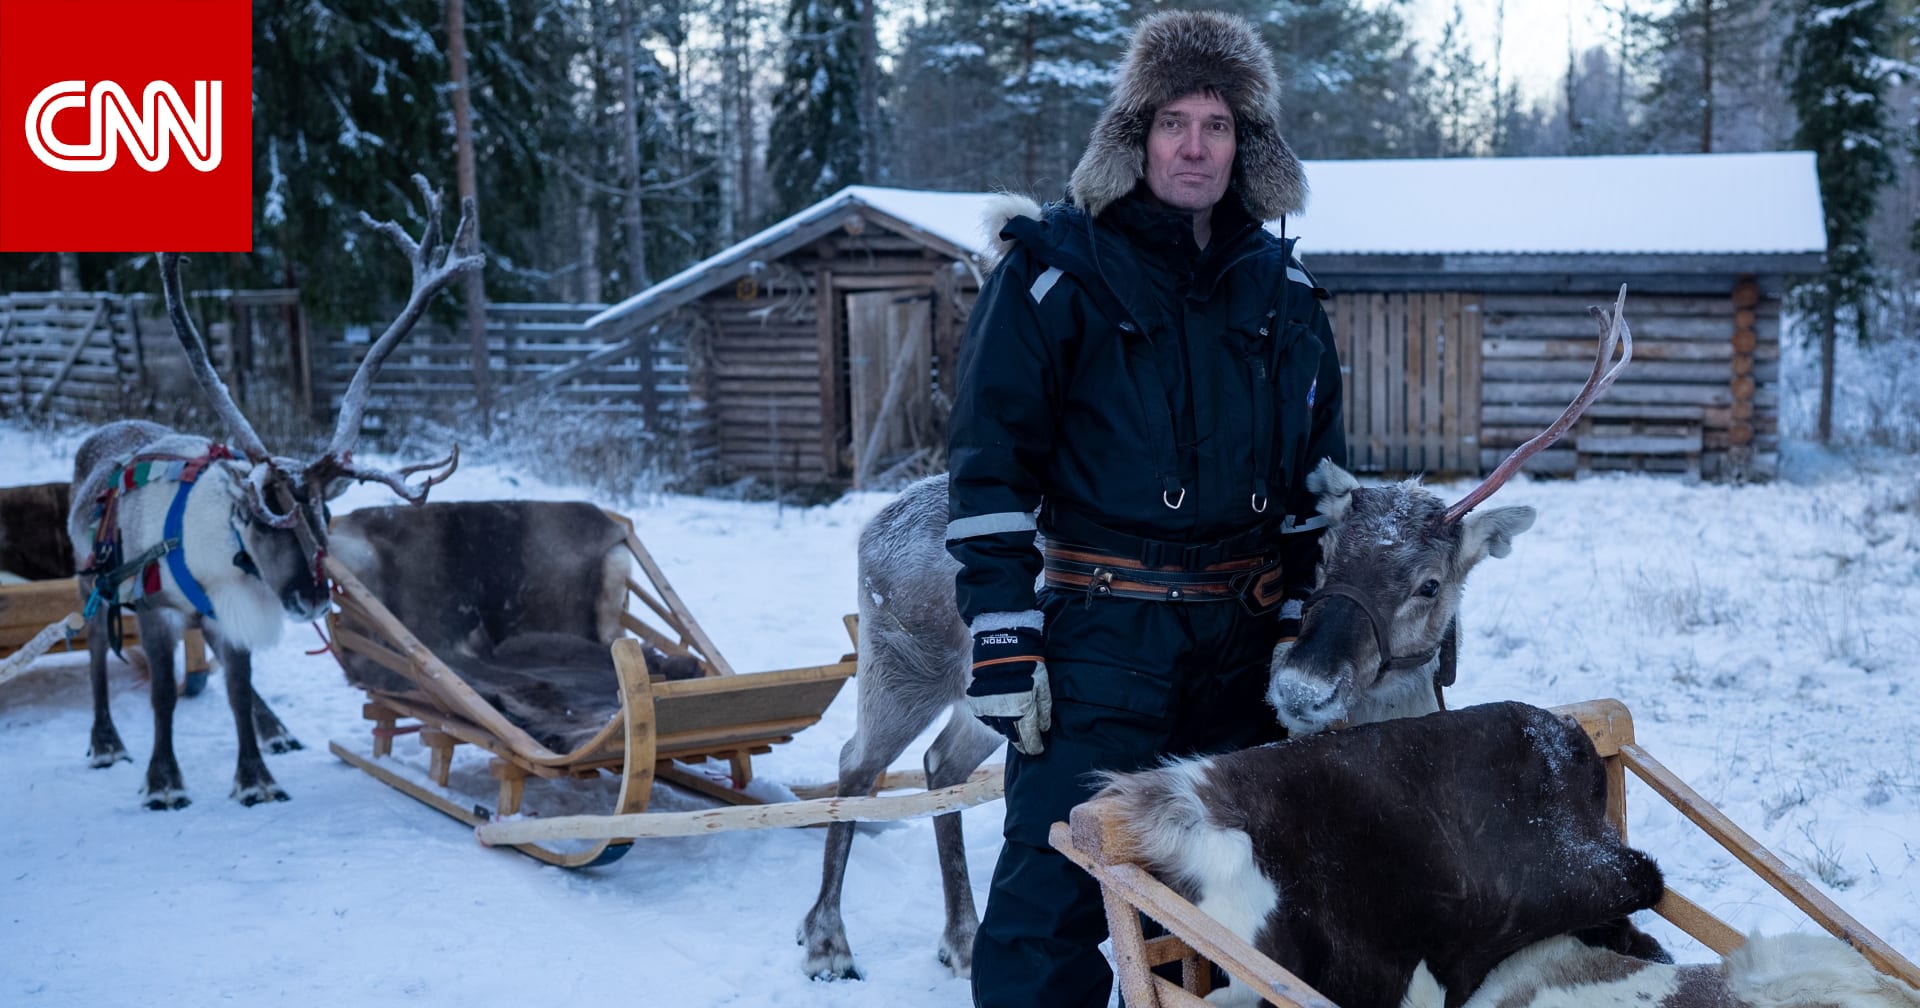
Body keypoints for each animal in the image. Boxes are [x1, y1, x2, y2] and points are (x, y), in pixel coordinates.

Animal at [68, 174, 480, 810]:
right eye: (264, 518)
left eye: (327, 512)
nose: (313, 599)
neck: (219, 557)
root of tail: (103, 433)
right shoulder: (158, 611)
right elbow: (162, 696)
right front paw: (163, 782)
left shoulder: (230, 610)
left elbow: (239, 687)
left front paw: (256, 777)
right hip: (93, 583)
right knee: (93, 650)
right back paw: (105, 742)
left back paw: (275, 729)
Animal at [798, 289, 1633, 983]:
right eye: (1325, 555)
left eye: (1429, 584)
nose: (1300, 687)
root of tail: (872, 526)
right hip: (901, 667)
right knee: (856, 765)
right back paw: (828, 940)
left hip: (997, 708)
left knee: (937, 764)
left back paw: (961, 937)